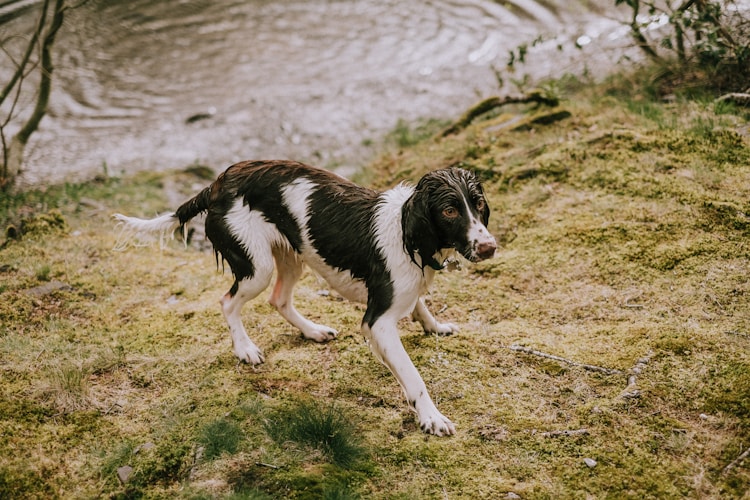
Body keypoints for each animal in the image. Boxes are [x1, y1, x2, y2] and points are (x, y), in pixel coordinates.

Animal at [114, 161, 496, 438]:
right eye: (449, 211)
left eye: (477, 203)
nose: (489, 248)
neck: (406, 233)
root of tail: (219, 183)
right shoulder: (378, 322)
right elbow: (414, 377)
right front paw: (431, 417)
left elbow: (419, 306)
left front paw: (435, 326)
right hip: (257, 266)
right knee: (228, 301)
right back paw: (245, 349)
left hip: (290, 256)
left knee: (279, 300)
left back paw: (312, 331)